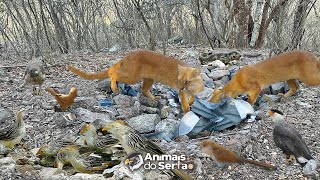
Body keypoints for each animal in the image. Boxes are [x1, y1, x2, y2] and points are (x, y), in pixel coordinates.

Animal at [67, 50, 204, 112]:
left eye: (187, 82)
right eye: (179, 80)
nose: (180, 87)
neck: (193, 88)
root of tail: (129, 54)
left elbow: (193, 98)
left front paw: (191, 102)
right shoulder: (182, 93)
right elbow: (185, 103)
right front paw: (187, 111)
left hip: (149, 79)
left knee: (143, 89)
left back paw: (154, 98)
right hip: (132, 76)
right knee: (113, 74)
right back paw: (114, 87)